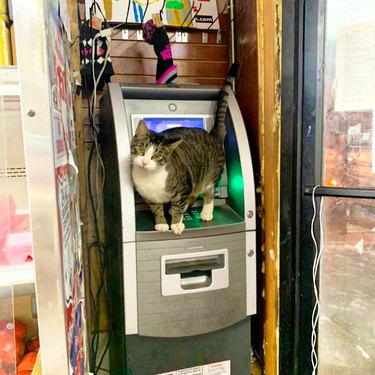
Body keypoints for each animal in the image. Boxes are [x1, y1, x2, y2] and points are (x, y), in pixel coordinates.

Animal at [131, 62, 239, 235]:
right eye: (141, 150)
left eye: (157, 156)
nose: (145, 162)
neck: (149, 177)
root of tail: (212, 134)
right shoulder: (150, 197)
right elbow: (157, 209)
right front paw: (161, 223)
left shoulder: (184, 186)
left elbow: (179, 206)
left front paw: (176, 223)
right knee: (193, 195)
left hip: (209, 176)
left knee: (207, 193)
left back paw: (206, 212)